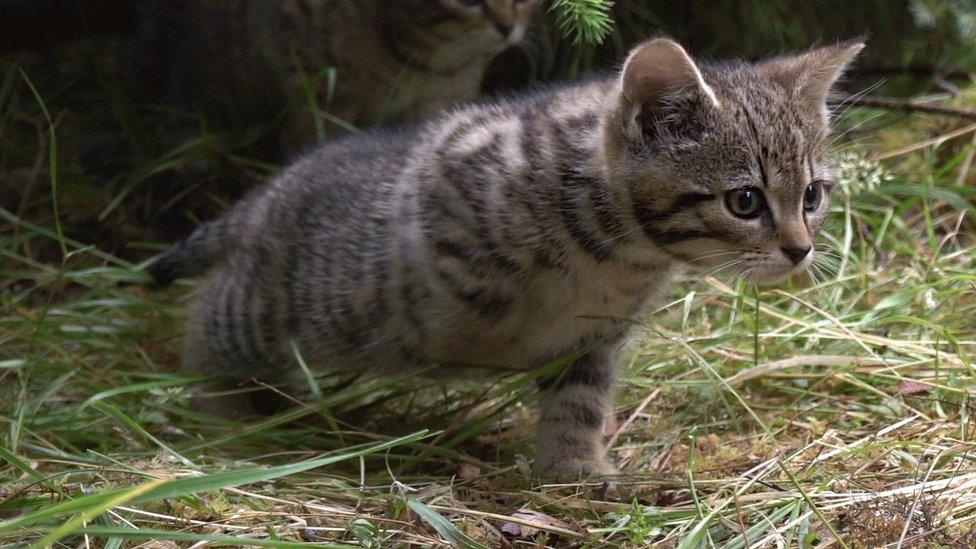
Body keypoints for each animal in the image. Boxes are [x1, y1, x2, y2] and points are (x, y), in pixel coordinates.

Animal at [151, 37, 860, 476]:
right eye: (745, 201)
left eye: (812, 195)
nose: (801, 250)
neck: (617, 255)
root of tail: (268, 193)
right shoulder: (444, 187)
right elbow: (458, 304)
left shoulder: (597, 334)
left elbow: (579, 401)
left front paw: (573, 468)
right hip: (293, 308)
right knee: (209, 319)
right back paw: (223, 409)